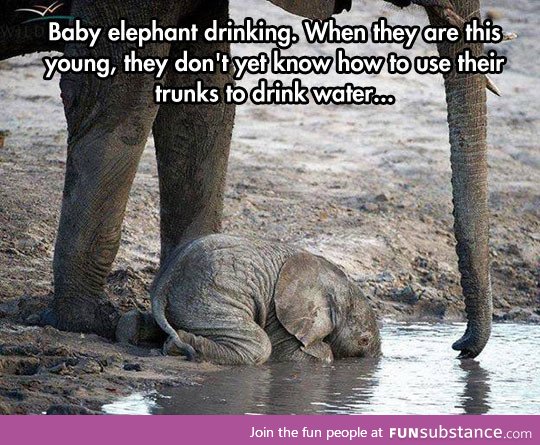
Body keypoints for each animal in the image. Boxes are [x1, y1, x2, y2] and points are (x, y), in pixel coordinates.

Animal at [118, 234, 380, 362]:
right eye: (363, 341)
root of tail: (164, 284)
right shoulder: (281, 314)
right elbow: (296, 356)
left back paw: (131, 330)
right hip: (212, 299)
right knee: (259, 345)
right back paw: (178, 345)